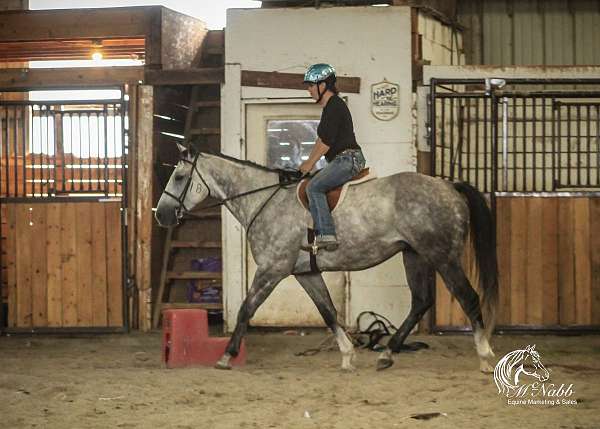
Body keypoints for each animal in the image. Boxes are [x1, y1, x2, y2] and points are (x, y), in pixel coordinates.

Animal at [155, 147, 496, 372]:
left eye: (180, 177)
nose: (162, 215)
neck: (265, 199)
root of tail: (447, 185)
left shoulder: (272, 269)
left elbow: (246, 309)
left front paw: (227, 355)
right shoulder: (305, 273)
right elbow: (328, 311)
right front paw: (347, 355)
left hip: (442, 256)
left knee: (468, 297)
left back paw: (485, 355)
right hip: (414, 255)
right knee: (421, 302)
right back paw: (386, 354)